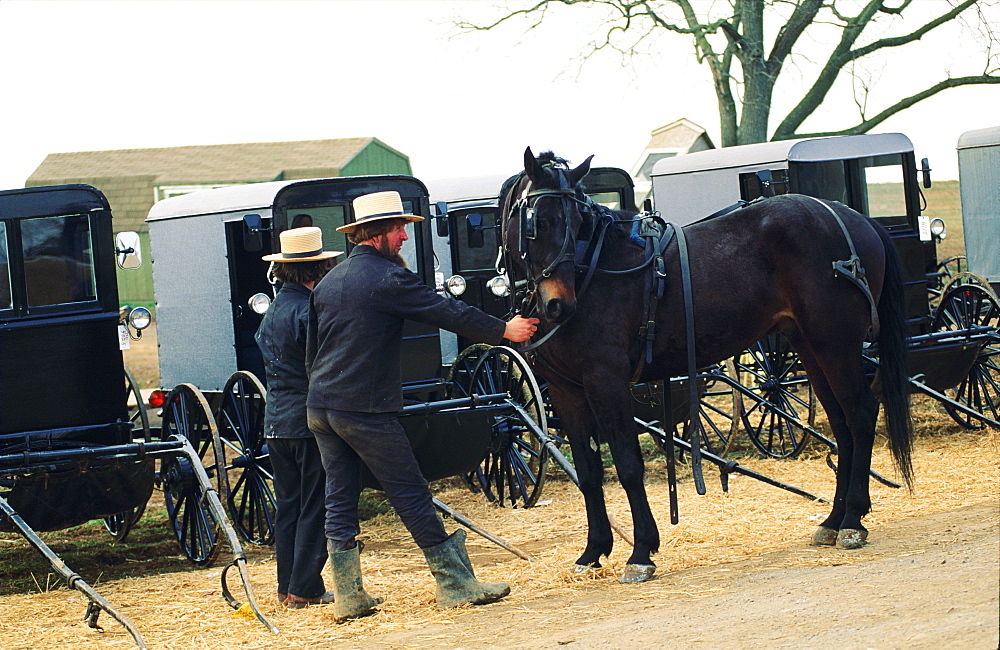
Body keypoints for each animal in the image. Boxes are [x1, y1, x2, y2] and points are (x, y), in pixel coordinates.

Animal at [504, 148, 912, 584]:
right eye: (538, 222)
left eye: (577, 221)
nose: (559, 304)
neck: (594, 272)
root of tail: (851, 217)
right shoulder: (566, 392)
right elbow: (588, 471)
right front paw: (592, 551)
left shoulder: (607, 382)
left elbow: (628, 465)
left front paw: (641, 552)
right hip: (811, 346)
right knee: (841, 423)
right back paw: (834, 520)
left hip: (835, 343)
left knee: (860, 414)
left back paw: (852, 520)